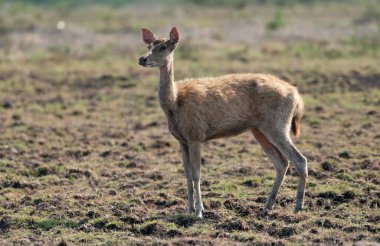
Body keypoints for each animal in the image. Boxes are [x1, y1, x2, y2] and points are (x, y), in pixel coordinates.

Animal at [138, 27, 308, 219]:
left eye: (164, 47)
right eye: (149, 45)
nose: (142, 59)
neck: (175, 103)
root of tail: (297, 96)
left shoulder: (196, 134)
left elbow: (196, 173)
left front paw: (199, 211)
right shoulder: (182, 139)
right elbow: (187, 174)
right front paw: (188, 209)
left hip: (277, 124)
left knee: (299, 159)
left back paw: (297, 207)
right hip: (259, 129)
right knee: (281, 163)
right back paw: (267, 206)